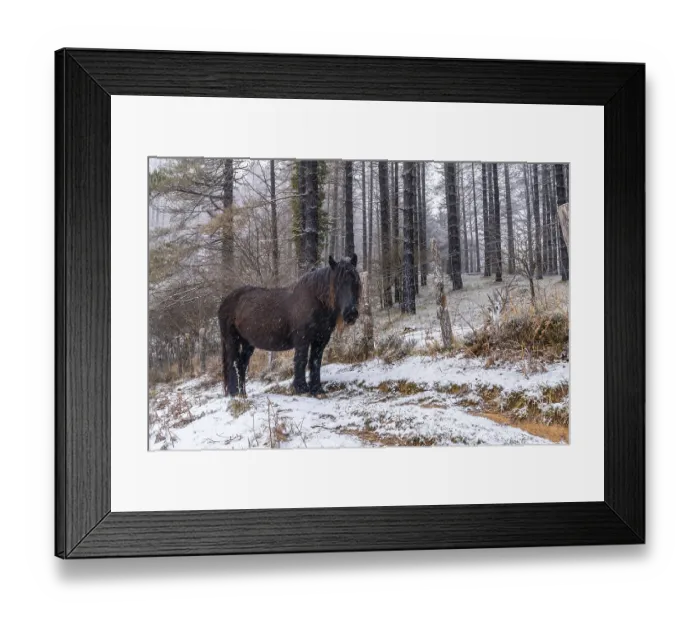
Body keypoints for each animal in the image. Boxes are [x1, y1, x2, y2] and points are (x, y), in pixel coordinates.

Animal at [218, 254, 361, 398]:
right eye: (337, 284)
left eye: (355, 282)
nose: (351, 313)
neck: (314, 301)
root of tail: (225, 301)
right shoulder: (302, 340)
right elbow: (301, 361)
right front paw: (301, 388)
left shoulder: (320, 340)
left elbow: (315, 362)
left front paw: (317, 389)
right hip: (232, 340)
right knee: (232, 364)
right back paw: (234, 393)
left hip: (248, 343)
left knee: (241, 365)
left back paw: (242, 394)